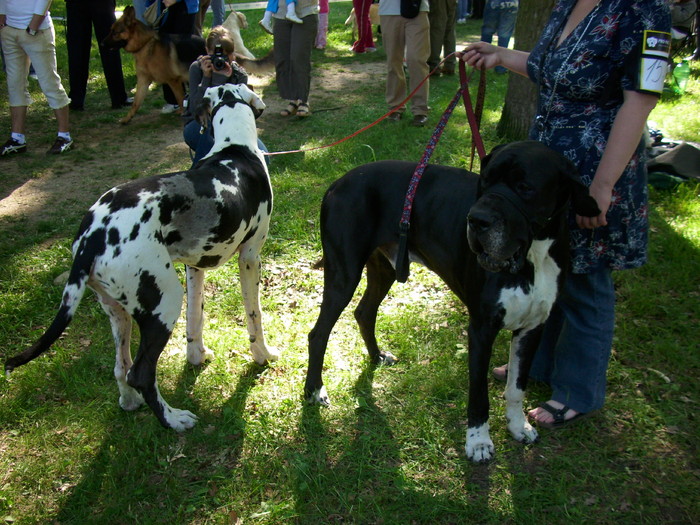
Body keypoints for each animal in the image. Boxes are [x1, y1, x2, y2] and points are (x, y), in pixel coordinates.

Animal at [6, 85, 278, 430]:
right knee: (141, 373)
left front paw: (196, 356)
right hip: (165, 302)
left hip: (118, 311)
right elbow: (255, 315)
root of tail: (93, 234)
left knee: (121, 367)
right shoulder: (251, 257)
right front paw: (262, 355)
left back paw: (130, 402)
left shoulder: (195, 267)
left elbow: (196, 317)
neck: (234, 148)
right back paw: (173, 419)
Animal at [105, 6, 274, 123]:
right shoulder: (143, 81)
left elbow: (180, 100)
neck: (145, 44)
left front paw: (184, 113)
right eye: (111, 30)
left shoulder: (173, 81)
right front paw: (126, 119)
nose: (102, 43)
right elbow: (136, 103)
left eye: (115, 32)